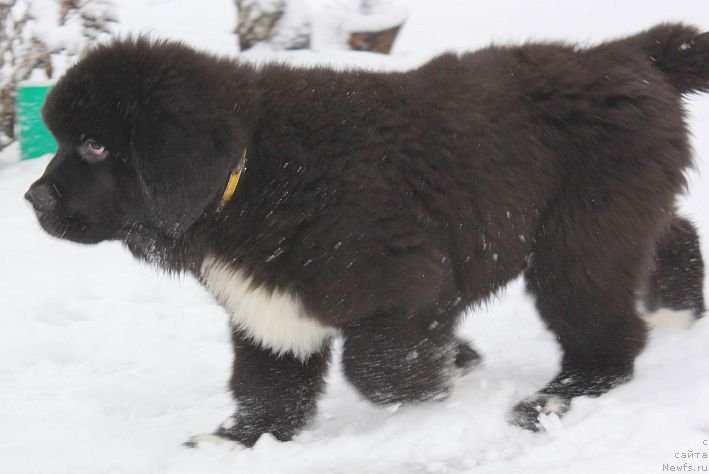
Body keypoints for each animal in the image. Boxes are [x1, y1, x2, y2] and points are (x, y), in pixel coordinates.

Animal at [24, 24, 704, 446]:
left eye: (94, 145)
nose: (32, 199)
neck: (252, 169)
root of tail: (630, 54)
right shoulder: (271, 303)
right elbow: (269, 384)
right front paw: (238, 442)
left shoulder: (406, 280)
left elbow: (378, 368)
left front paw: (451, 373)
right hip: (619, 214)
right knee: (673, 233)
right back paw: (678, 312)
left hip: (578, 238)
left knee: (603, 329)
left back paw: (562, 396)